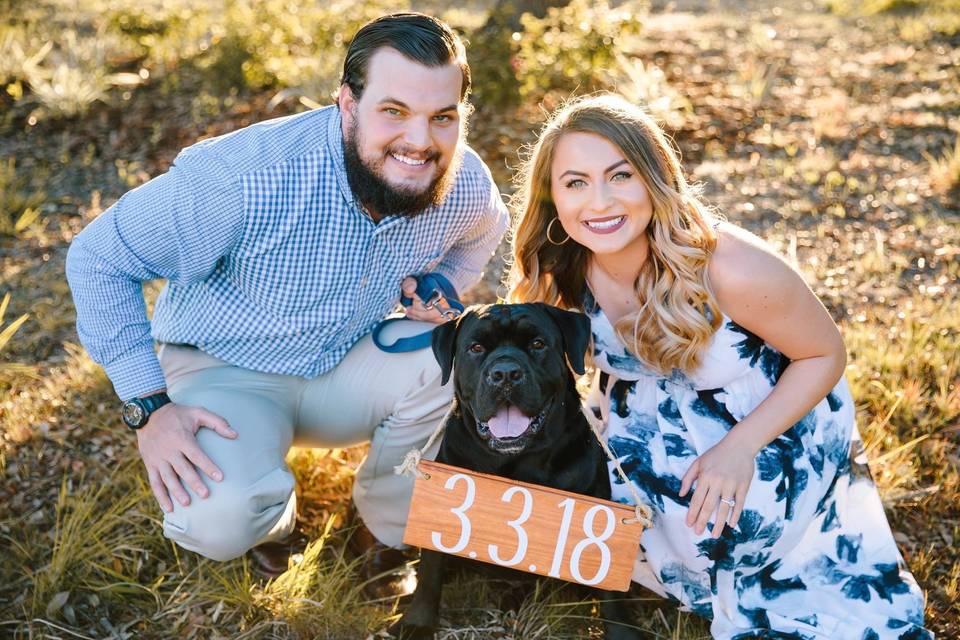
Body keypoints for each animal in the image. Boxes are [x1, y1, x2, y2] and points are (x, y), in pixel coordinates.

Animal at [390, 304, 644, 640]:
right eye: (476, 348)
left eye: (537, 344)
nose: (505, 373)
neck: (518, 460)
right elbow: (431, 569)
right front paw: (417, 622)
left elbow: (609, 586)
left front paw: (622, 632)